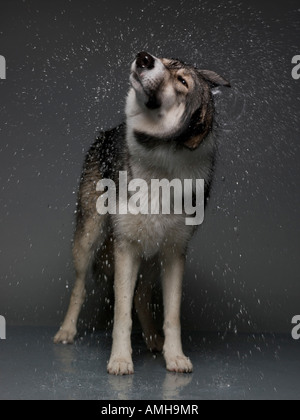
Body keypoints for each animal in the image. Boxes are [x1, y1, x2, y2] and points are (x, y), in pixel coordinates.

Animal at [54, 50, 231, 376]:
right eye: (165, 60)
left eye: (183, 81)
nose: (144, 57)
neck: (161, 163)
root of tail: (107, 132)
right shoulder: (126, 247)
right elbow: (122, 314)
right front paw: (120, 360)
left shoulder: (174, 253)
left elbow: (171, 316)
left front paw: (175, 357)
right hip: (89, 240)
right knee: (81, 287)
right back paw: (67, 331)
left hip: (152, 256)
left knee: (141, 296)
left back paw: (153, 340)